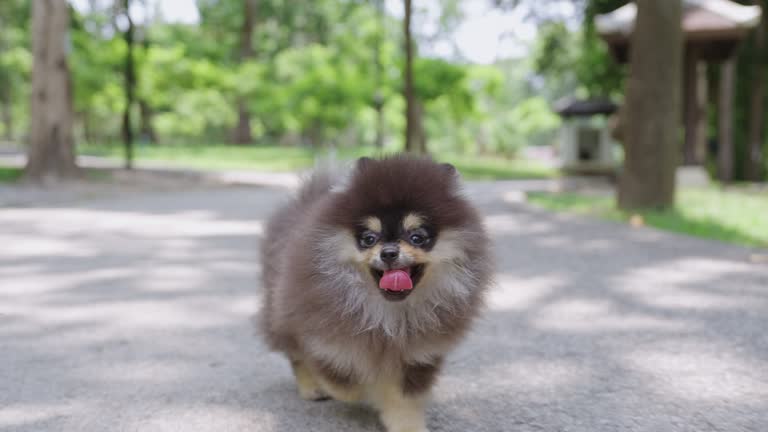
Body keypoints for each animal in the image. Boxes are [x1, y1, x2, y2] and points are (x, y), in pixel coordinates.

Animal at [260, 155, 492, 432]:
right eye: (369, 238)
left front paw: (407, 426)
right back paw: (311, 388)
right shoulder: (324, 341)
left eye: (417, 237)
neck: (389, 314)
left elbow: (403, 400)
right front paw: (365, 392)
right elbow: (344, 382)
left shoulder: (418, 354)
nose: (389, 252)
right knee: (296, 355)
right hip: (280, 311)